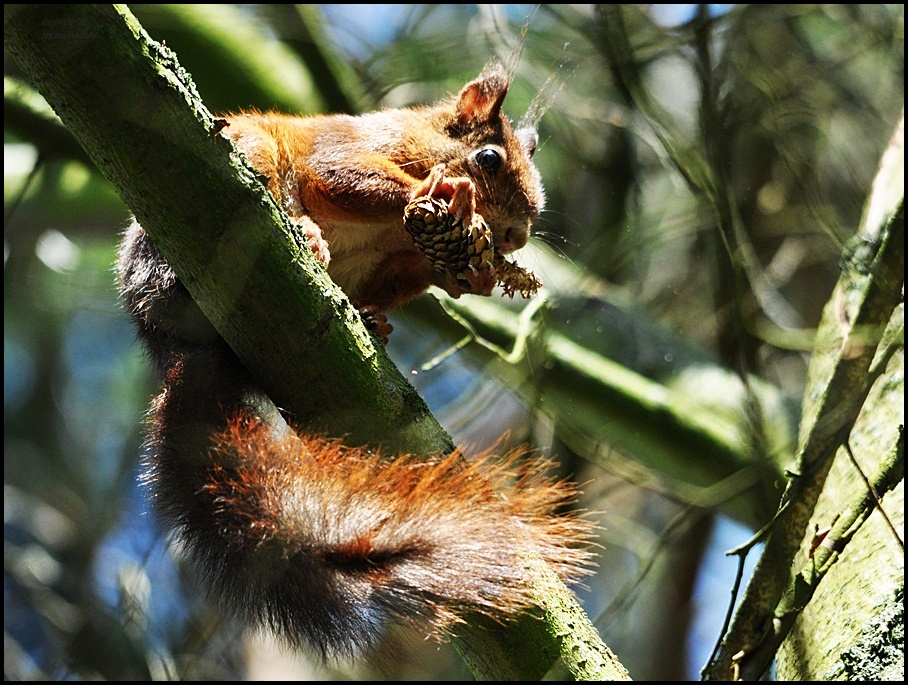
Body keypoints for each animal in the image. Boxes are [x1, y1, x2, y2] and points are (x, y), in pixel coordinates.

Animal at [115, 62, 596, 656]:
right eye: (489, 158)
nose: (516, 236)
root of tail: (168, 344)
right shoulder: (351, 147)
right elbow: (342, 176)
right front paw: (439, 194)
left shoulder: (397, 260)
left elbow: (410, 273)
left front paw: (475, 273)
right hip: (233, 171)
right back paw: (306, 235)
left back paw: (371, 320)